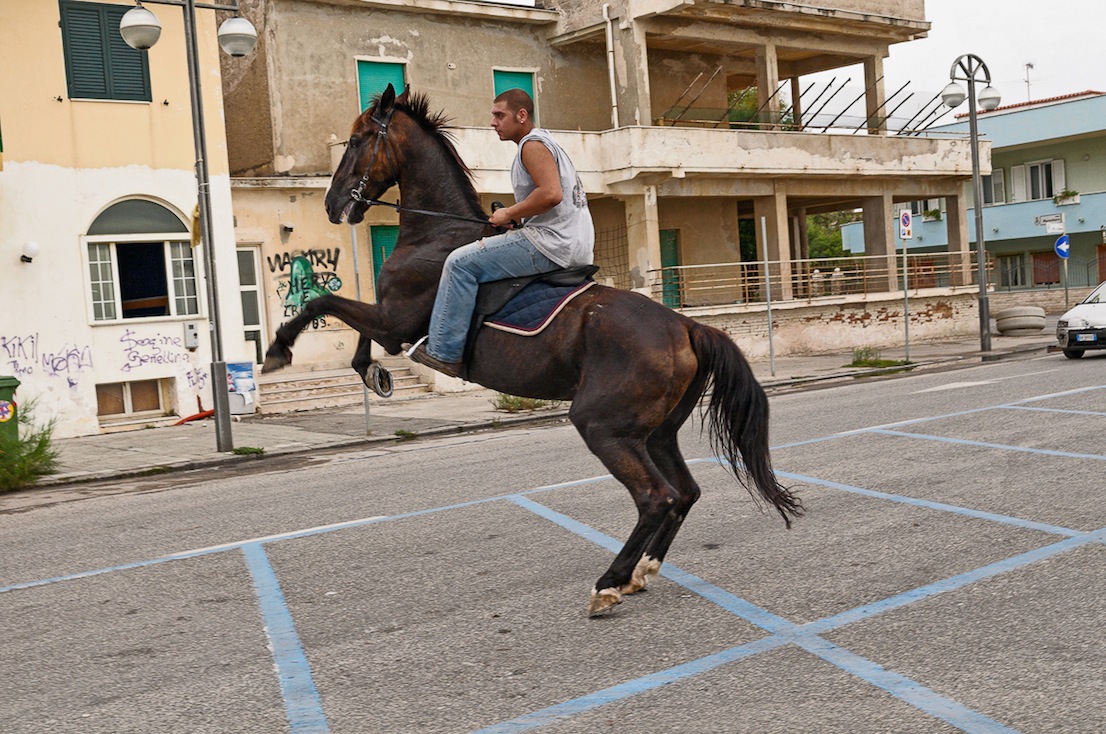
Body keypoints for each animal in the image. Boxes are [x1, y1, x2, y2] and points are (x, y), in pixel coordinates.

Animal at [267, 82, 805, 614]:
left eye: (358, 140)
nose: (333, 204)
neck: (437, 233)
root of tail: (687, 327)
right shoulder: (388, 319)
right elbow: (346, 317)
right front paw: (371, 372)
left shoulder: (394, 322)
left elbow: (324, 301)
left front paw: (280, 350)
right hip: (655, 432)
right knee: (684, 492)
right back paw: (642, 571)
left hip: (603, 426)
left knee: (657, 497)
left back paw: (609, 582)